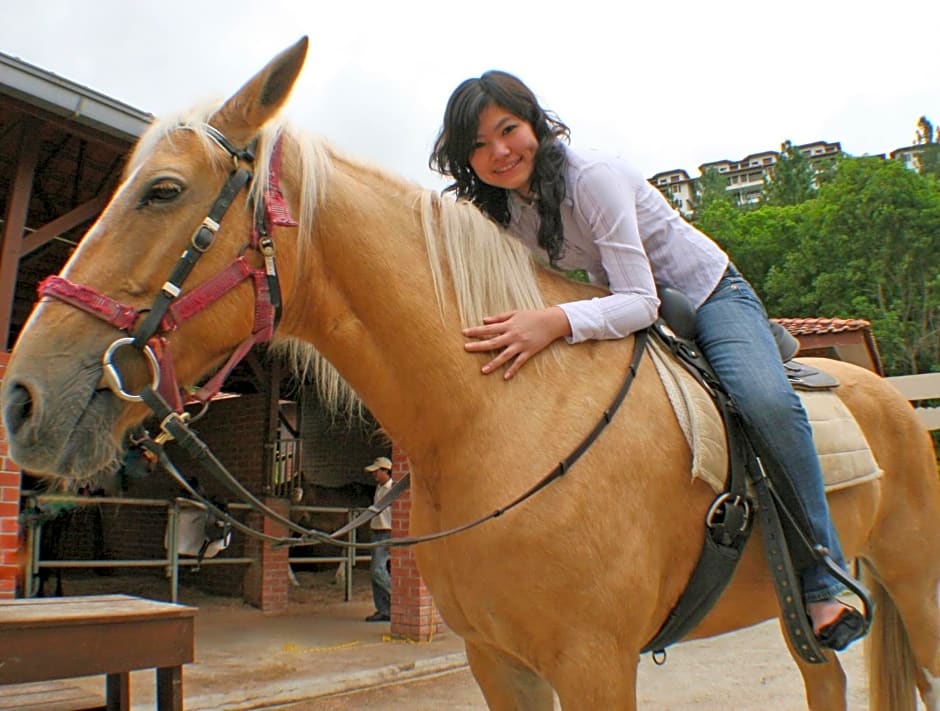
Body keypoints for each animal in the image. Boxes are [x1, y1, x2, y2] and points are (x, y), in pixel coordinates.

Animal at [1, 40, 940, 711]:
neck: (500, 414)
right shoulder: (499, 660)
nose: (22, 398)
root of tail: (894, 401)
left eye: (161, 190)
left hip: (916, 585)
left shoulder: (595, 664)